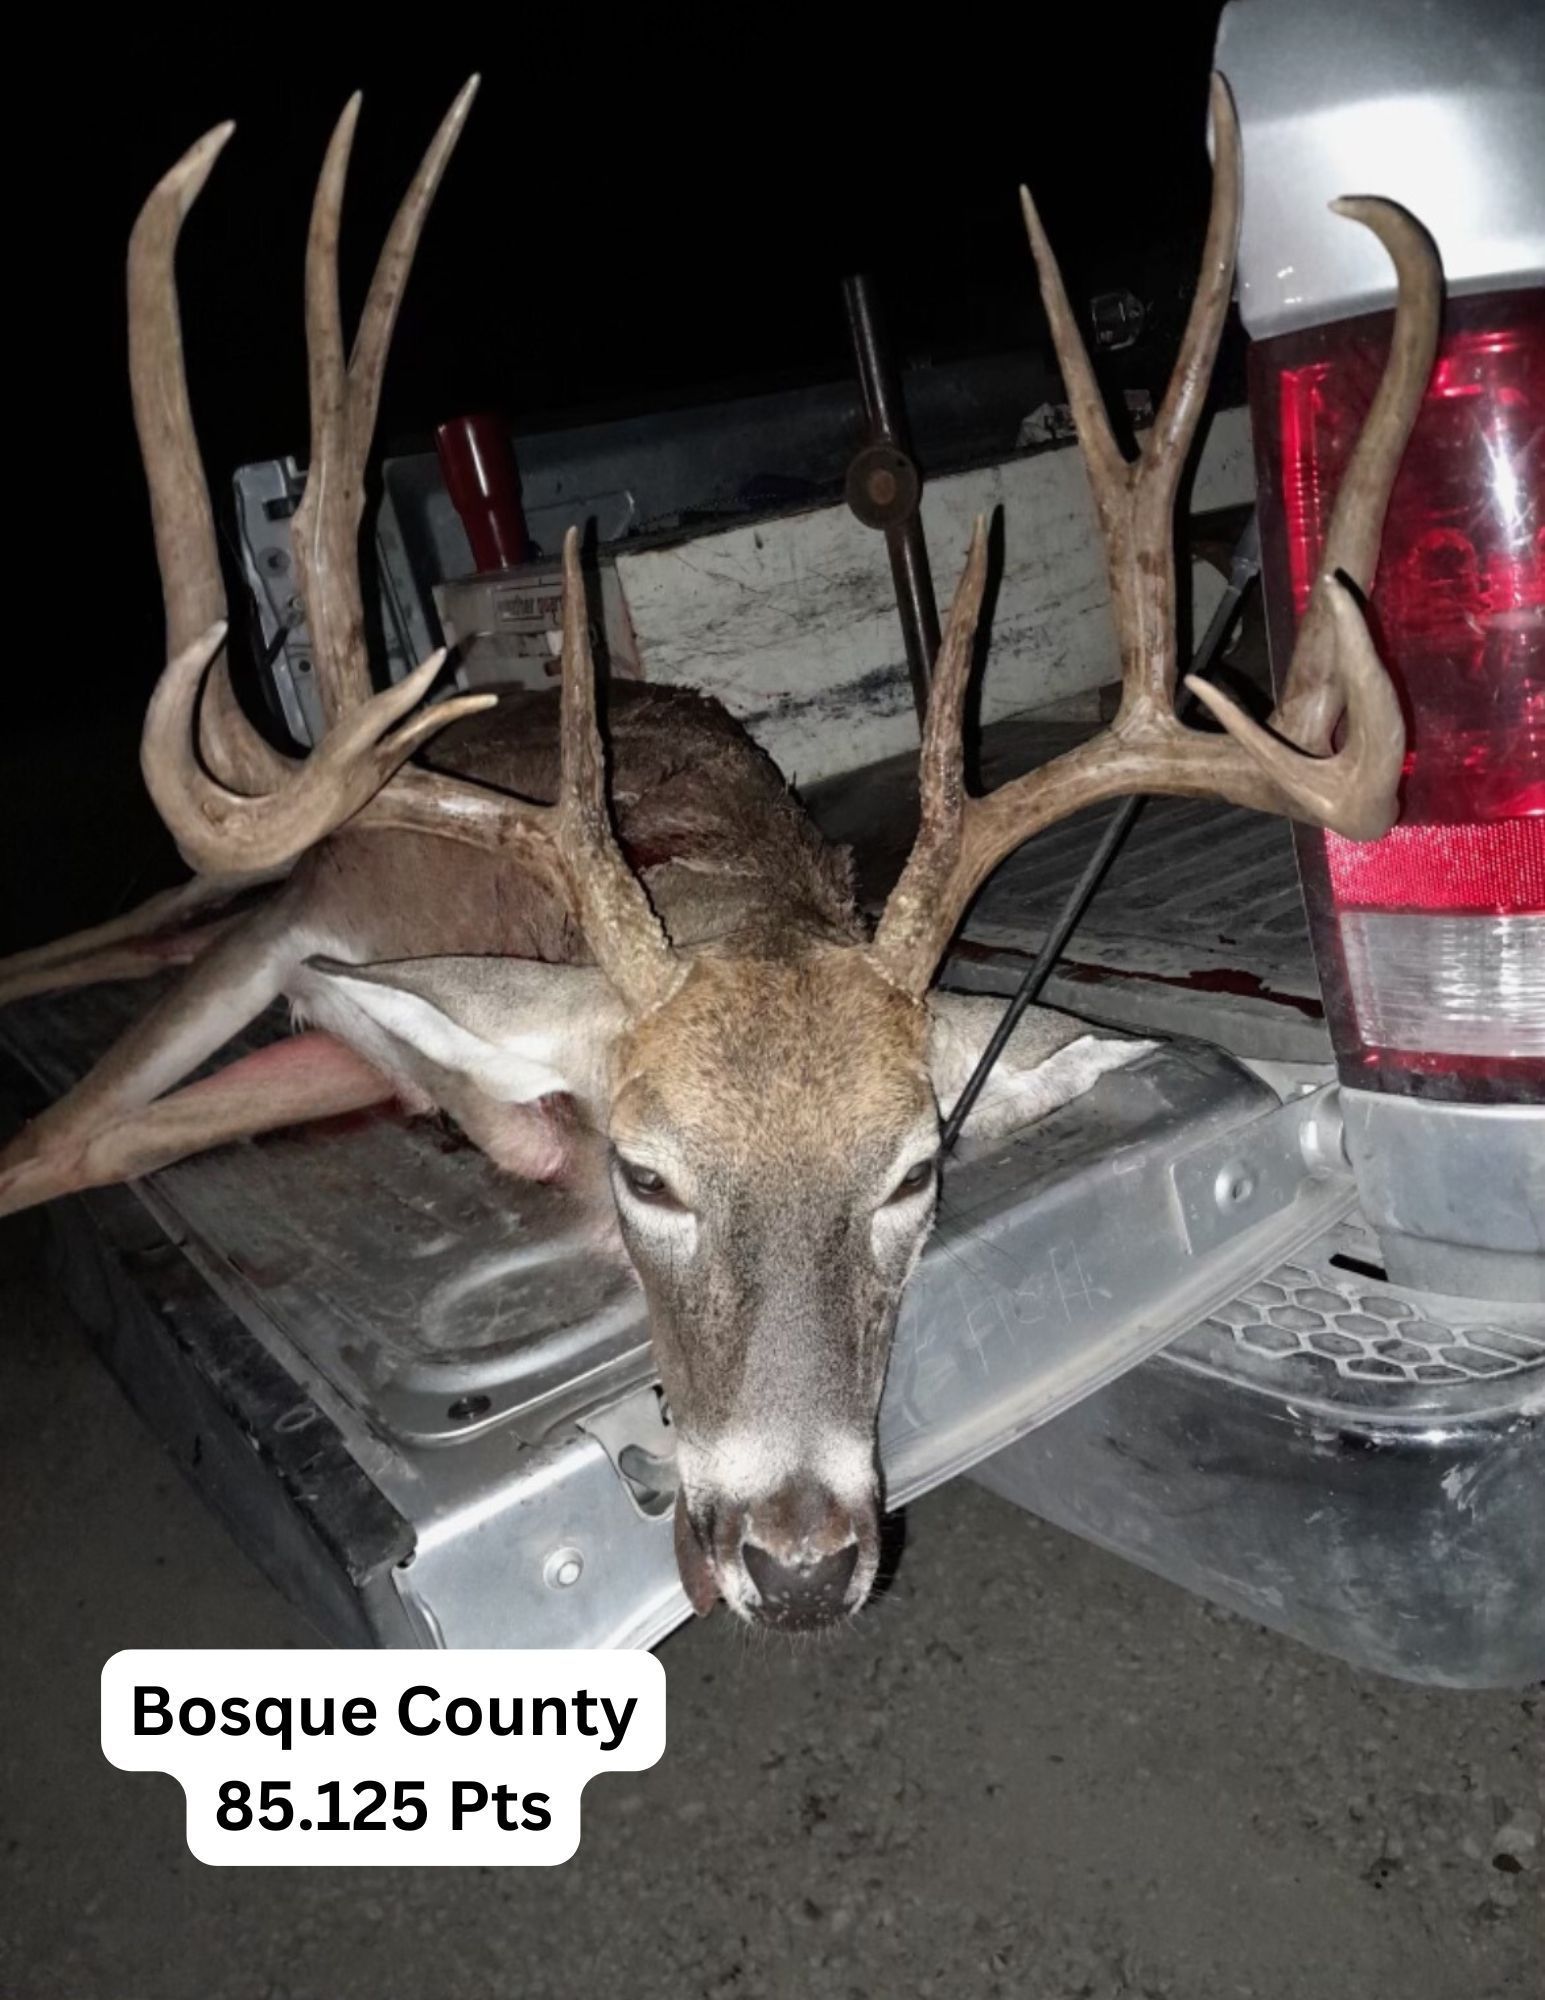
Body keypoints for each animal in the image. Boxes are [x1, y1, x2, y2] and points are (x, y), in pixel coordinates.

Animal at [0, 74, 1439, 1631]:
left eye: (913, 1174)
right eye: (649, 1177)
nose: (797, 1566)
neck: (694, 868)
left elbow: (109, 1137)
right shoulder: (300, 923)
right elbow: (51, 1141)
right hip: (245, 868)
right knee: (127, 955)